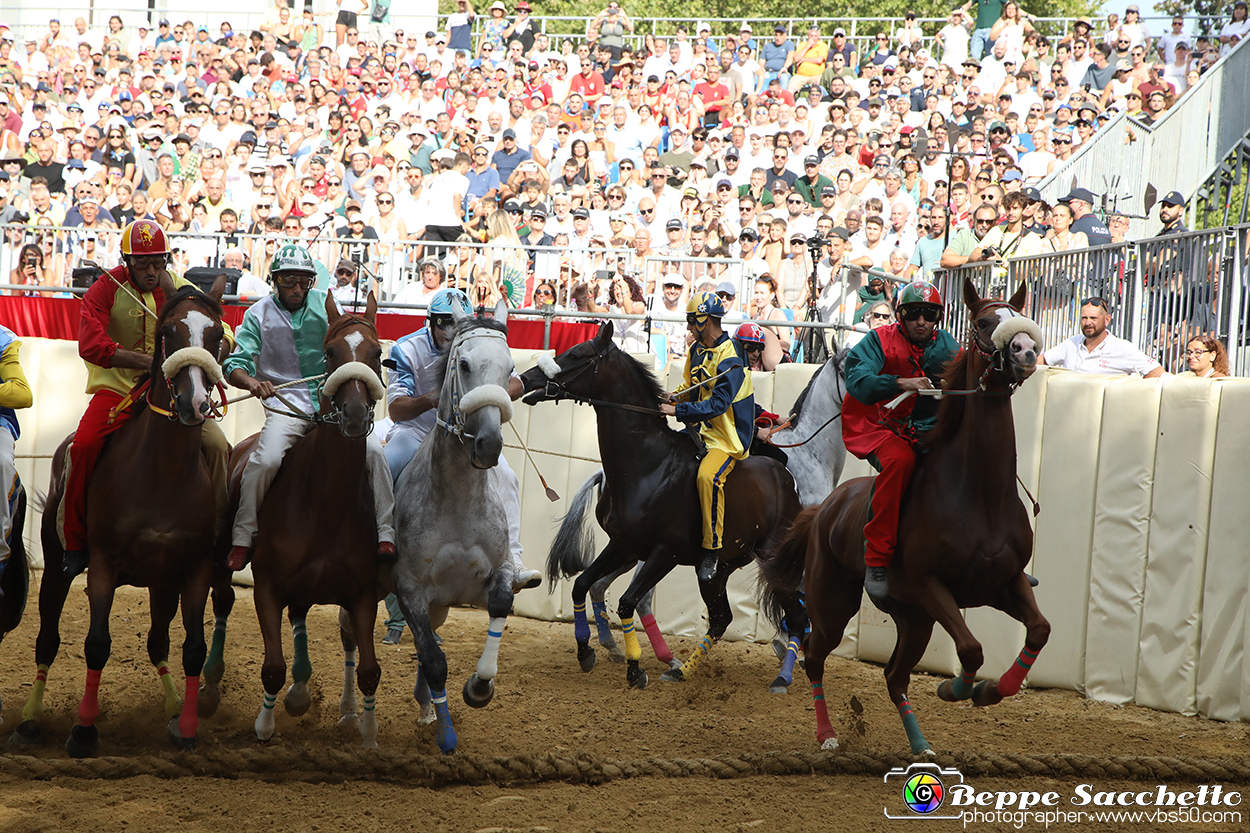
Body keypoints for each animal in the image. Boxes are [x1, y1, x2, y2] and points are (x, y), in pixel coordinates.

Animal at [230, 293, 385, 745]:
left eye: (377, 353)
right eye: (330, 352)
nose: (354, 414)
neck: (324, 507)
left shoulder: (362, 593)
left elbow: (369, 670)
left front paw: (368, 733)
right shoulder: (266, 586)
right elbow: (272, 666)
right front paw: (263, 728)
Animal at [520, 322, 800, 685]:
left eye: (576, 354)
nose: (527, 379)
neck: (647, 464)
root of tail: (787, 479)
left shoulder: (664, 553)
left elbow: (626, 602)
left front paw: (635, 667)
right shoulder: (623, 545)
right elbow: (582, 585)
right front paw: (586, 652)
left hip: (770, 560)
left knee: (796, 615)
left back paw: (783, 678)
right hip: (720, 568)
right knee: (721, 617)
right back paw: (683, 670)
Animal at [755, 277, 1050, 750]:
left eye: (1021, 318)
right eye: (984, 323)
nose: (1024, 350)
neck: (978, 494)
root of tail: (825, 511)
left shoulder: (1005, 583)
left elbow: (1038, 630)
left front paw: (989, 690)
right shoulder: (931, 585)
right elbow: (971, 649)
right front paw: (956, 687)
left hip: (914, 619)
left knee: (894, 676)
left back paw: (920, 744)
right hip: (835, 601)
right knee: (816, 656)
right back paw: (827, 733)